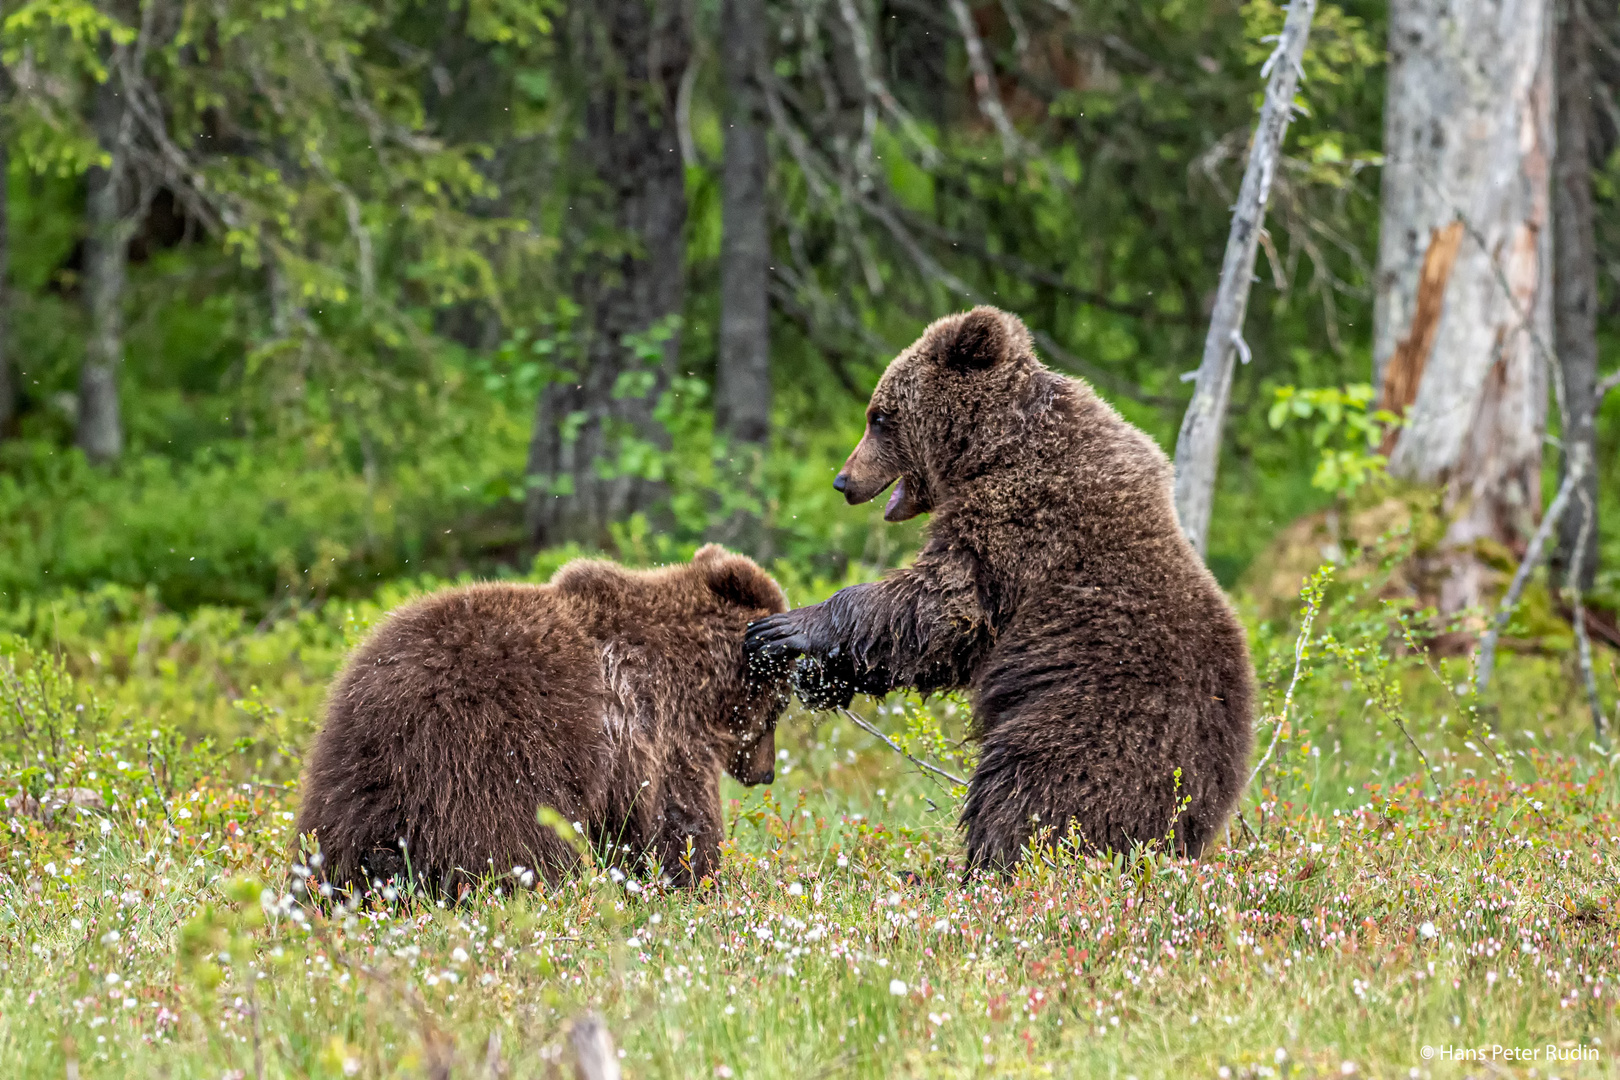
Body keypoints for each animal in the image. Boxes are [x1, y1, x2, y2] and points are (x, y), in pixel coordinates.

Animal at [296, 544, 790, 900]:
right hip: (488, 757)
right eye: (780, 704)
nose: (765, 773)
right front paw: (701, 882)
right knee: (516, 843)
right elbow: (679, 819)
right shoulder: (659, 729)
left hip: (356, 764)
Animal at [745, 304, 1250, 867]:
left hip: (1092, 720)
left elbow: (940, 603)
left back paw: (988, 867)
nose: (843, 480)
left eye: (879, 417)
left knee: (1031, 794)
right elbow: (945, 642)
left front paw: (789, 628)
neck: (988, 450)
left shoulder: (1020, 521)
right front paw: (819, 676)